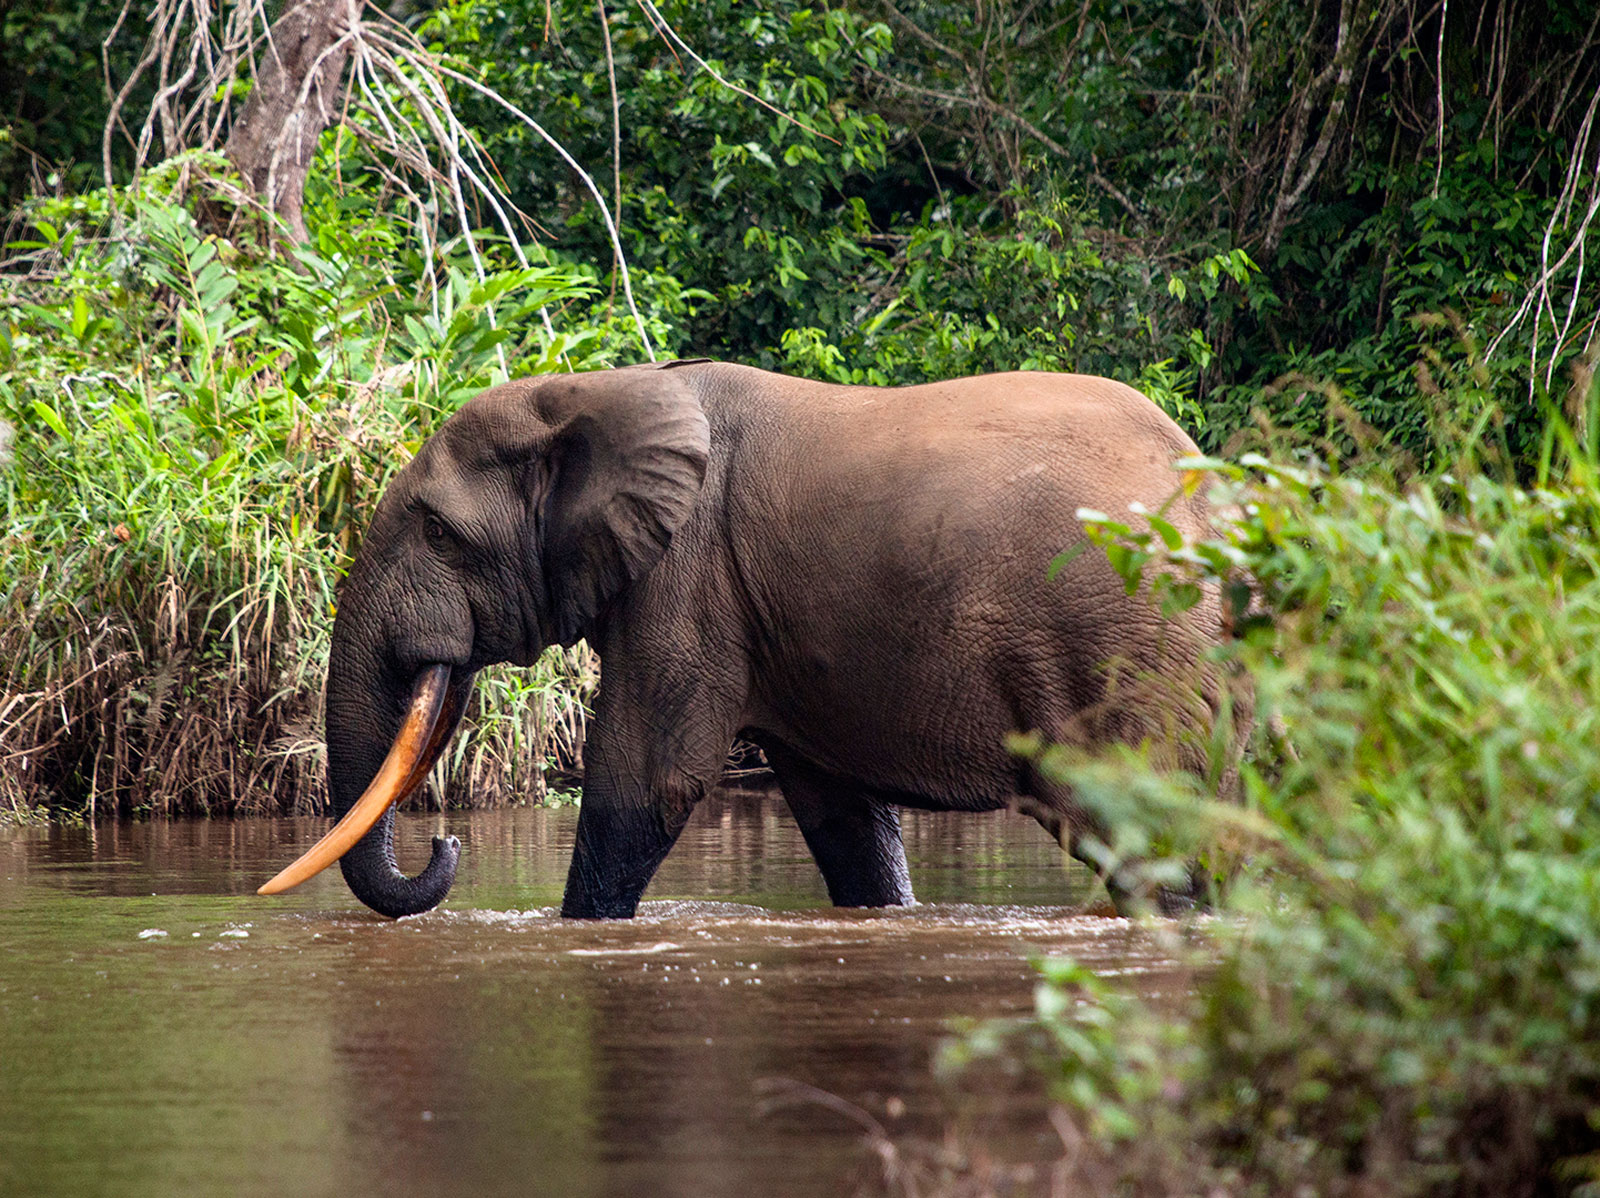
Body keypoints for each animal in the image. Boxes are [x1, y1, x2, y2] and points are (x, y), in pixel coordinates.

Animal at [259, 359, 1235, 921]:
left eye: (435, 531)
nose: (446, 844)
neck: (593, 389)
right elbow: (844, 819)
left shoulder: (688, 576)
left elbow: (648, 780)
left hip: (1126, 645)